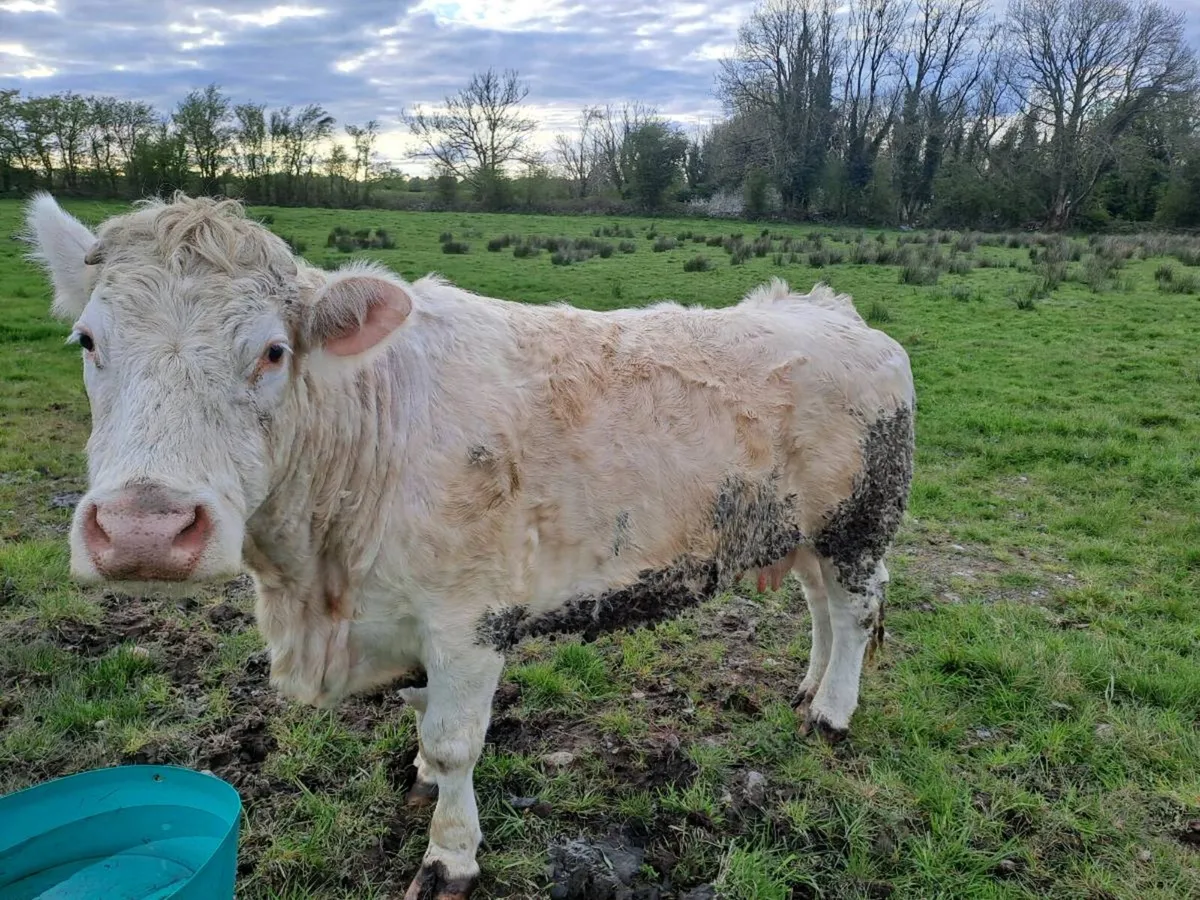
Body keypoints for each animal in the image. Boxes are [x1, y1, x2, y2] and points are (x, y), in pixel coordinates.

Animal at [21, 192, 915, 900]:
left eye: (272, 351)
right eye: (87, 341)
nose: (144, 528)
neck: (319, 585)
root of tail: (829, 308)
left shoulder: (467, 620)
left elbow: (455, 744)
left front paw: (449, 856)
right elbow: (422, 719)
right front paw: (417, 780)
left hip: (860, 521)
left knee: (856, 611)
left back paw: (832, 712)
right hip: (802, 529)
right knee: (820, 608)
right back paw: (808, 687)